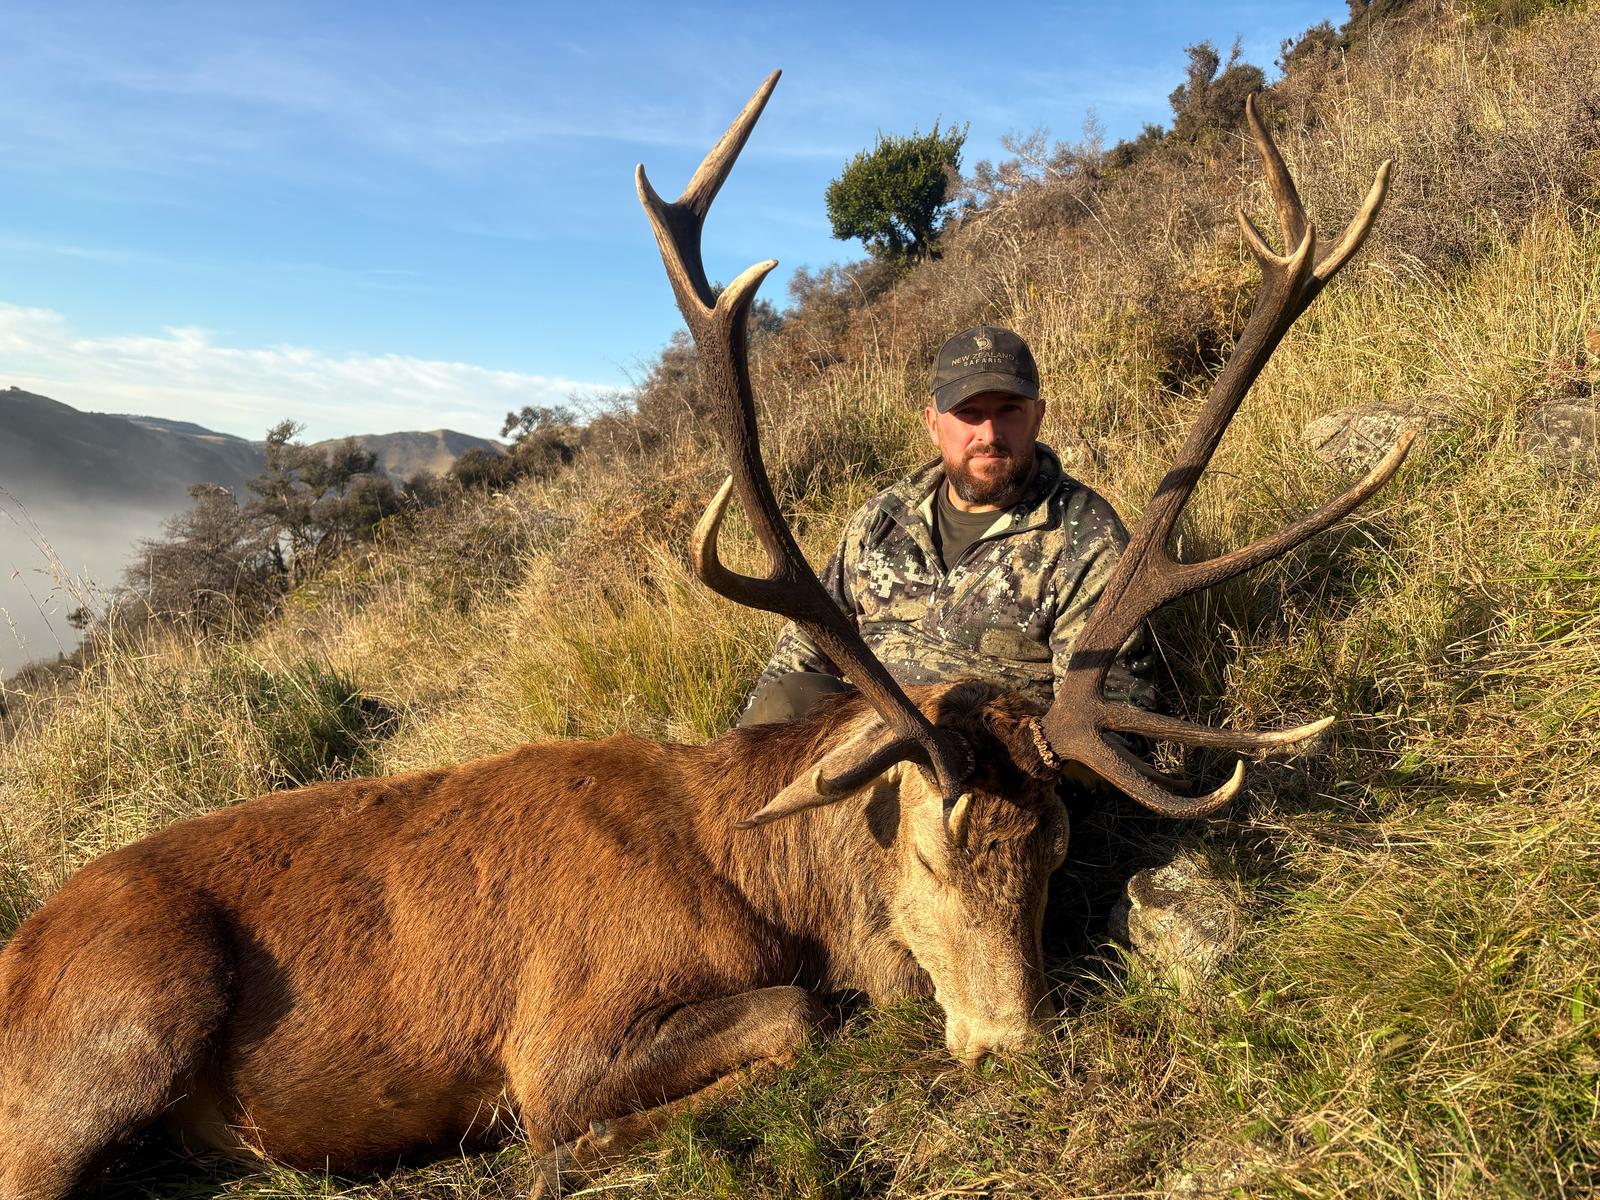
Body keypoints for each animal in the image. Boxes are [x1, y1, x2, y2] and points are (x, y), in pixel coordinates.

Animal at [0, 73, 1405, 1200]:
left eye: (1055, 849)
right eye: (926, 854)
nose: (1013, 1045)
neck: (757, 878)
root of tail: (19, 951)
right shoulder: (557, 1038)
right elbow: (787, 1019)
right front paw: (564, 1151)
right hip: (122, 1019)